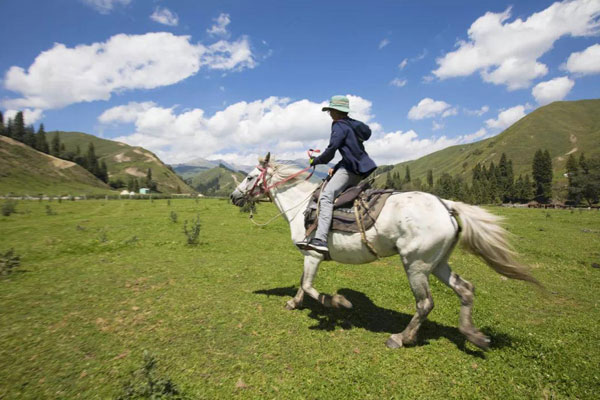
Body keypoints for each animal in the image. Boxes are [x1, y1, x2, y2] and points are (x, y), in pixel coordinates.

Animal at [231, 155, 540, 348]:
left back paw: (401, 338)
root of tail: (446, 205)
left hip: (416, 265)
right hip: (438, 263)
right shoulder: (310, 257)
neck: (302, 206)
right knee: (465, 289)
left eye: (250, 177)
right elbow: (301, 284)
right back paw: (473, 335)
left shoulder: (313, 254)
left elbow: (308, 286)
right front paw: (294, 303)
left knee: (425, 303)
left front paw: (340, 303)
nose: (234, 197)